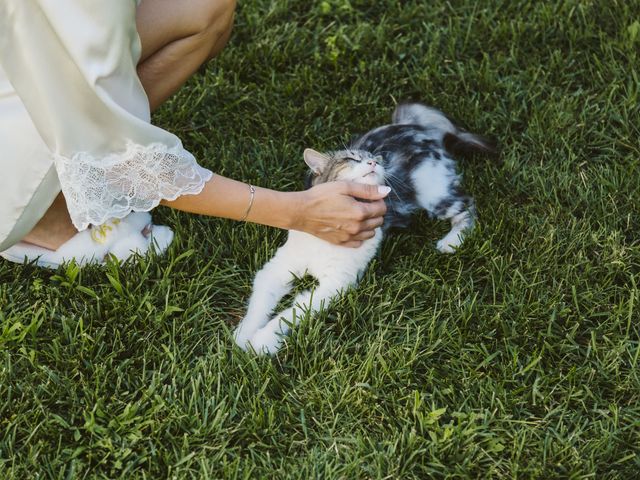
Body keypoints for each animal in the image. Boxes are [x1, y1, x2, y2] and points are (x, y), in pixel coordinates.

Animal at [235, 103, 496, 354]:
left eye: (377, 161)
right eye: (351, 159)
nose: (373, 163)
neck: (327, 238)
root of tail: (414, 126)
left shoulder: (335, 284)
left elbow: (290, 313)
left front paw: (263, 341)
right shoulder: (276, 269)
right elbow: (258, 305)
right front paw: (243, 337)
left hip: (433, 193)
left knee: (467, 206)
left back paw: (451, 241)